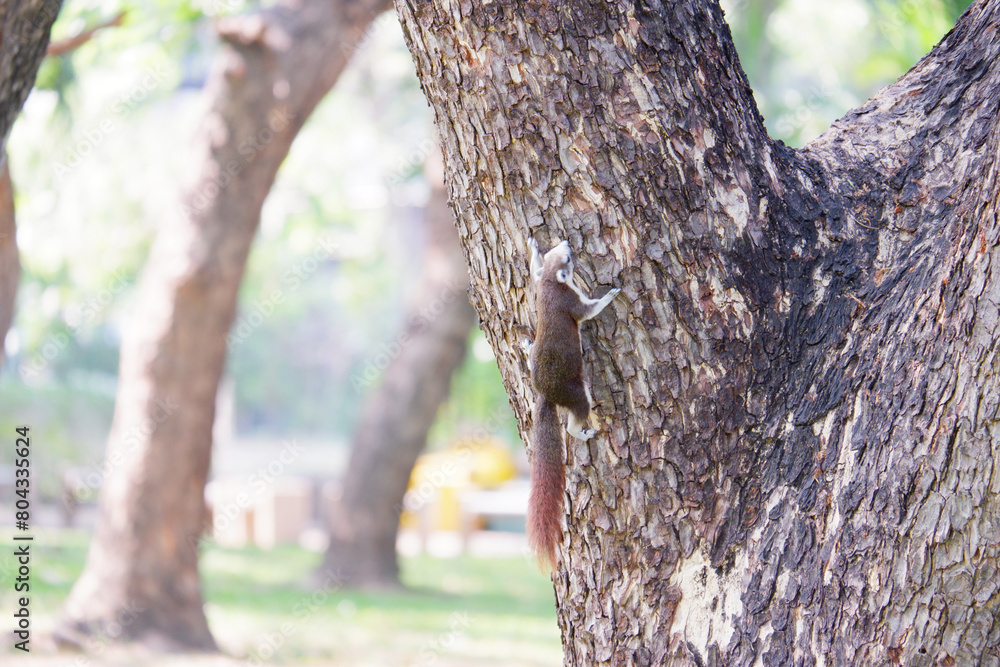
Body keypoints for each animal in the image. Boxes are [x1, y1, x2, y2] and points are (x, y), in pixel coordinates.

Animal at [524, 237, 620, 569]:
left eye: (555, 249)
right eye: (567, 259)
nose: (567, 242)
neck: (552, 284)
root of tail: (545, 393)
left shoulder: (540, 282)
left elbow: (533, 272)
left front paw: (532, 249)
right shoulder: (571, 302)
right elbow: (588, 311)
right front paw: (609, 295)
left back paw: (525, 348)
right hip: (578, 393)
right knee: (572, 421)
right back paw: (584, 432)